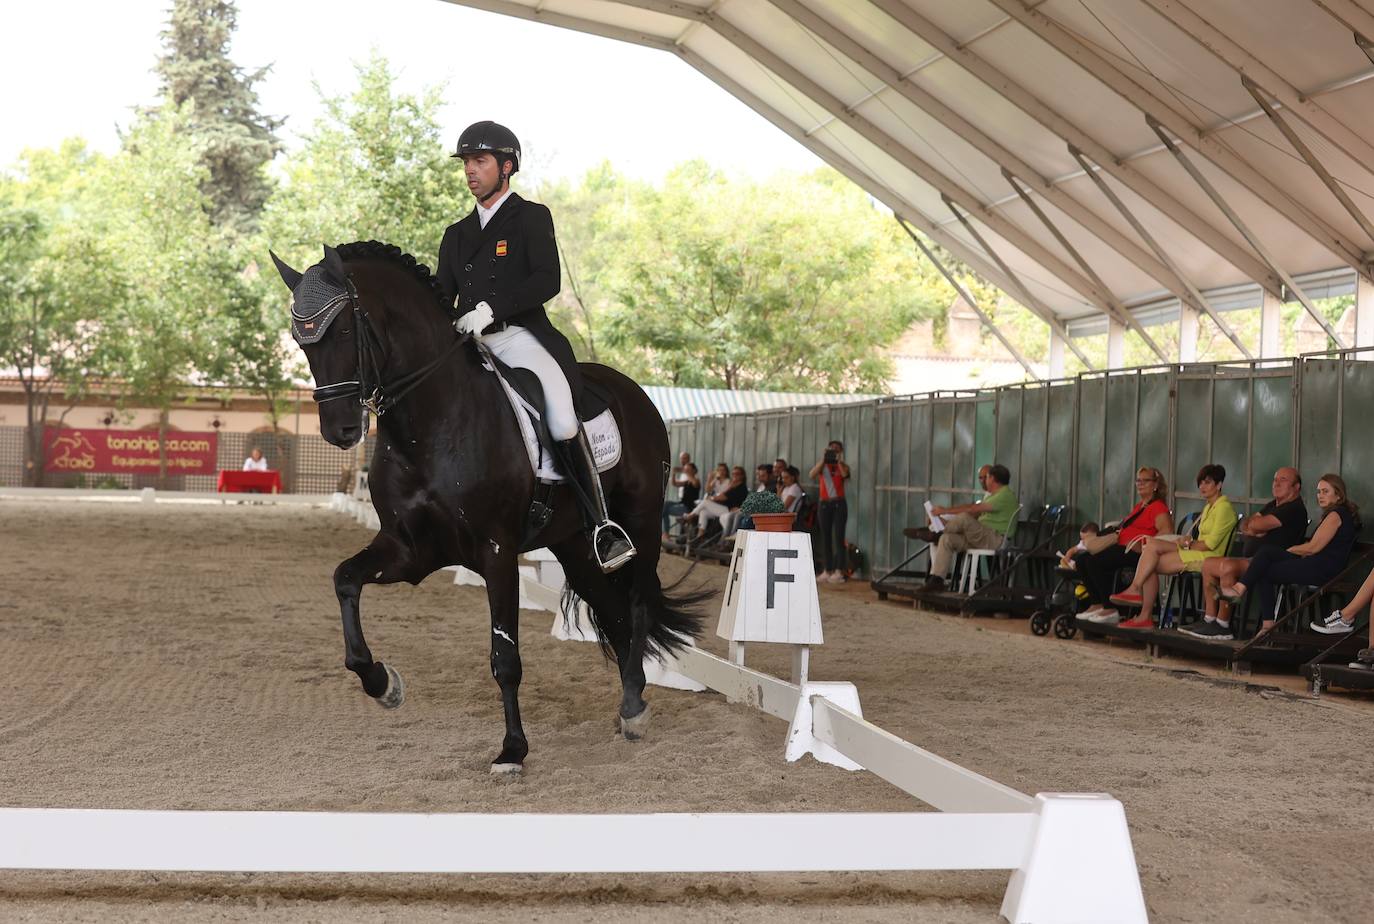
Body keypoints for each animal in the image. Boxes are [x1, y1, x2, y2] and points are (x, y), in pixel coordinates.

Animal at [270, 242, 697, 775]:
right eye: (299, 340)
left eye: (346, 330)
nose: (341, 430)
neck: (429, 426)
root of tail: (635, 392)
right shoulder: (410, 549)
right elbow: (345, 579)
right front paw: (383, 684)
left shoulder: (497, 552)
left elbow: (504, 657)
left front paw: (512, 750)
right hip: (575, 545)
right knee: (613, 611)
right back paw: (629, 702)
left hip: (641, 523)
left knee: (636, 605)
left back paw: (635, 709)